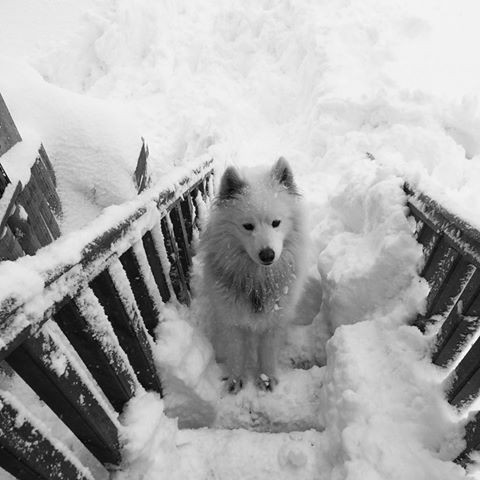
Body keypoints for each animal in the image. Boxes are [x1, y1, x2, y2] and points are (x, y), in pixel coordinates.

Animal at [199, 158, 308, 394]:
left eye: (276, 223)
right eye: (248, 226)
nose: (267, 255)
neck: (258, 281)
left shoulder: (274, 320)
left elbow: (267, 353)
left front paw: (266, 379)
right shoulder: (230, 319)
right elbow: (236, 352)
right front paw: (236, 379)